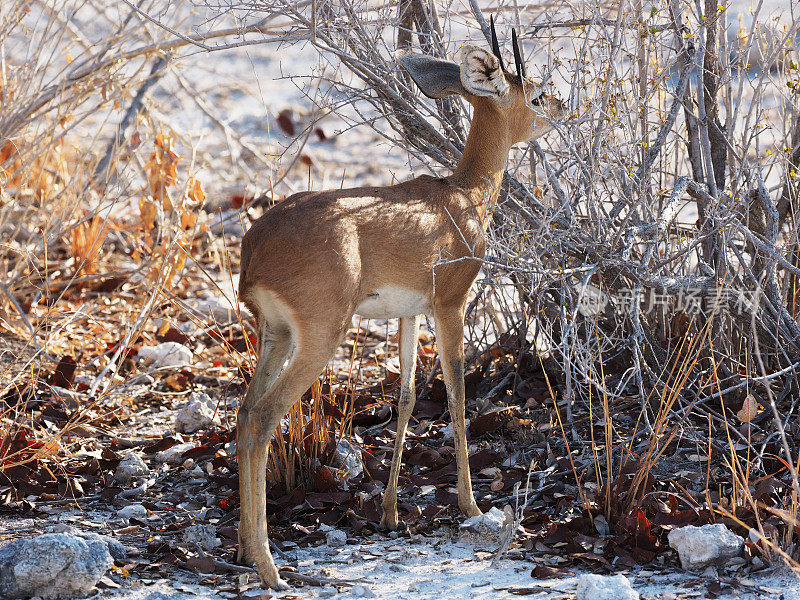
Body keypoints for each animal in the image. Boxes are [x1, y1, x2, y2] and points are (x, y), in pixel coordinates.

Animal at [234, 25, 564, 588]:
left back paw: (240, 547)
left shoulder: (409, 313)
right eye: (536, 94)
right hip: (319, 338)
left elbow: (408, 396)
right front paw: (471, 506)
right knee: (263, 419)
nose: (563, 108)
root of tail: (256, 248)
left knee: (242, 412)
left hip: (275, 334)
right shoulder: (451, 304)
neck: (464, 196)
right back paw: (269, 568)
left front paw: (389, 513)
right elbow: (456, 396)